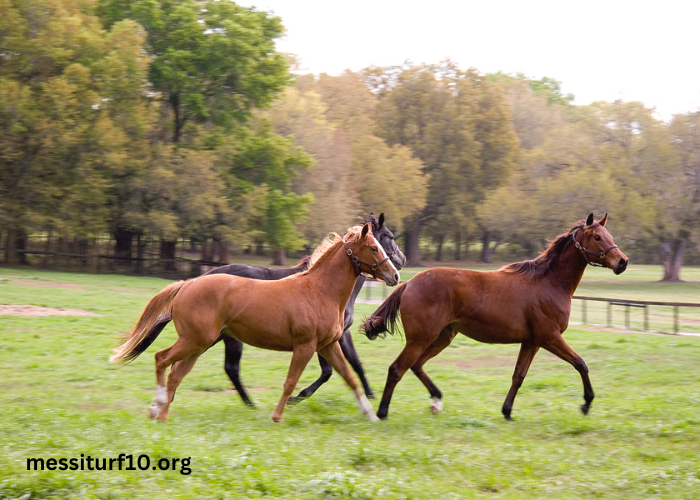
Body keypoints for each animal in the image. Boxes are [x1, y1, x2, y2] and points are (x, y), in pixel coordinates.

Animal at [113, 225, 400, 424]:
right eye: (374, 247)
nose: (395, 274)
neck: (320, 291)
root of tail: (187, 284)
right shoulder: (305, 346)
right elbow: (290, 382)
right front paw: (277, 416)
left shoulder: (328, 346)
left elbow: (349, 376)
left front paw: (371, 415)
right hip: (195, 341)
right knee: (162, 359)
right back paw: (159, 408)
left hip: (198, 344)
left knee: (175, 373)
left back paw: (160, 410)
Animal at [360, 213, 628, 420]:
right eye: (597, 237)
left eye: (609, 235)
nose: (623, 262)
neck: (549, 283)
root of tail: (409, 283)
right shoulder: (549, 337)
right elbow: (581, 363)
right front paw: (586, 403)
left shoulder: (531, 342)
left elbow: (518, 376)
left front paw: (507, 411)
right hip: (421, 338)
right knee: (397, 368)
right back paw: (382, 412)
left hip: (442, 336)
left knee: (415, 365)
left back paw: (436, 401)